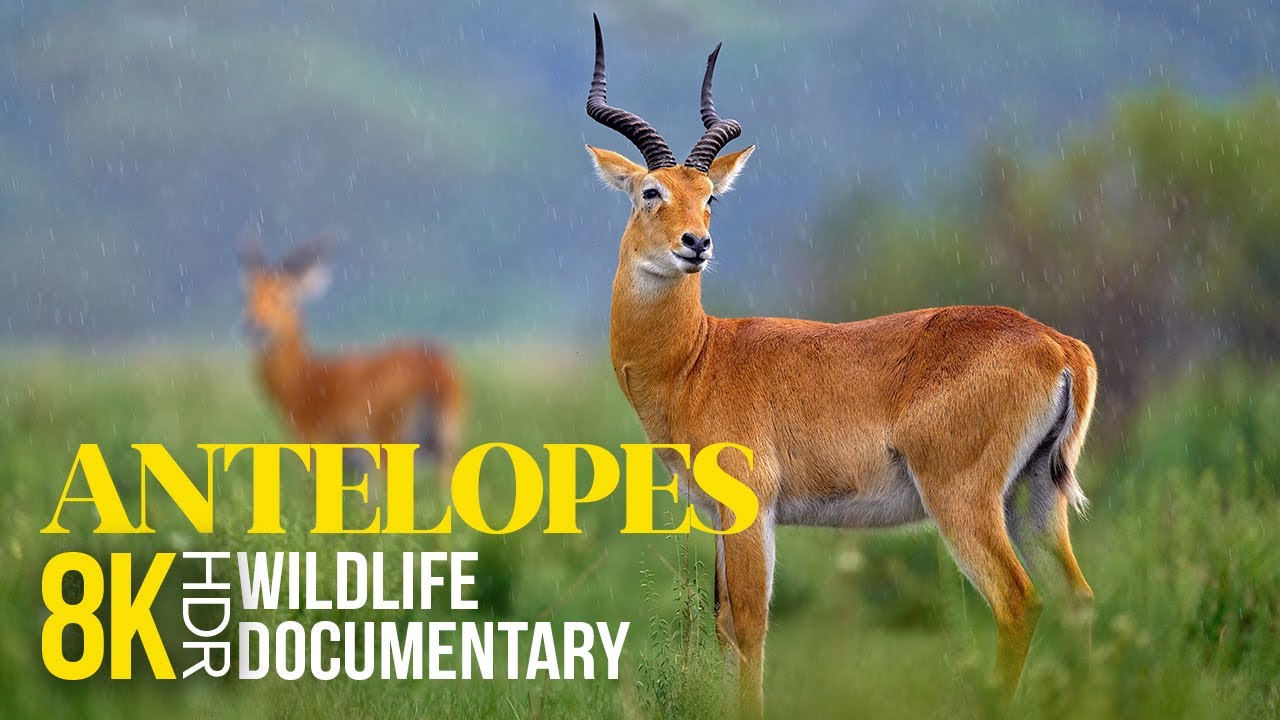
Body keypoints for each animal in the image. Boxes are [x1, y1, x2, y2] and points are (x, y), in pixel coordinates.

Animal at [238, 228, 464, 488]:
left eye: (286, 296)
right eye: (248, 296)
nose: (254, 325)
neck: (304, 378)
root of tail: (433, 368)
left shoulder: (312, 442)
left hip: (390, 442)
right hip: (444, 443)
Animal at [585, 16, 1097, 715]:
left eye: (711, 196)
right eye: (650, 191)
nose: (697, 244)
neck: (697, 359)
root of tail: (1058, 345)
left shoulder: (752, 507)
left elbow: (749, 624)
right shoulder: (720, 515)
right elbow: (723, 624)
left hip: (964, 499)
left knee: (1020, 602)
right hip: (1035, 495)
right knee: (1078, 601)